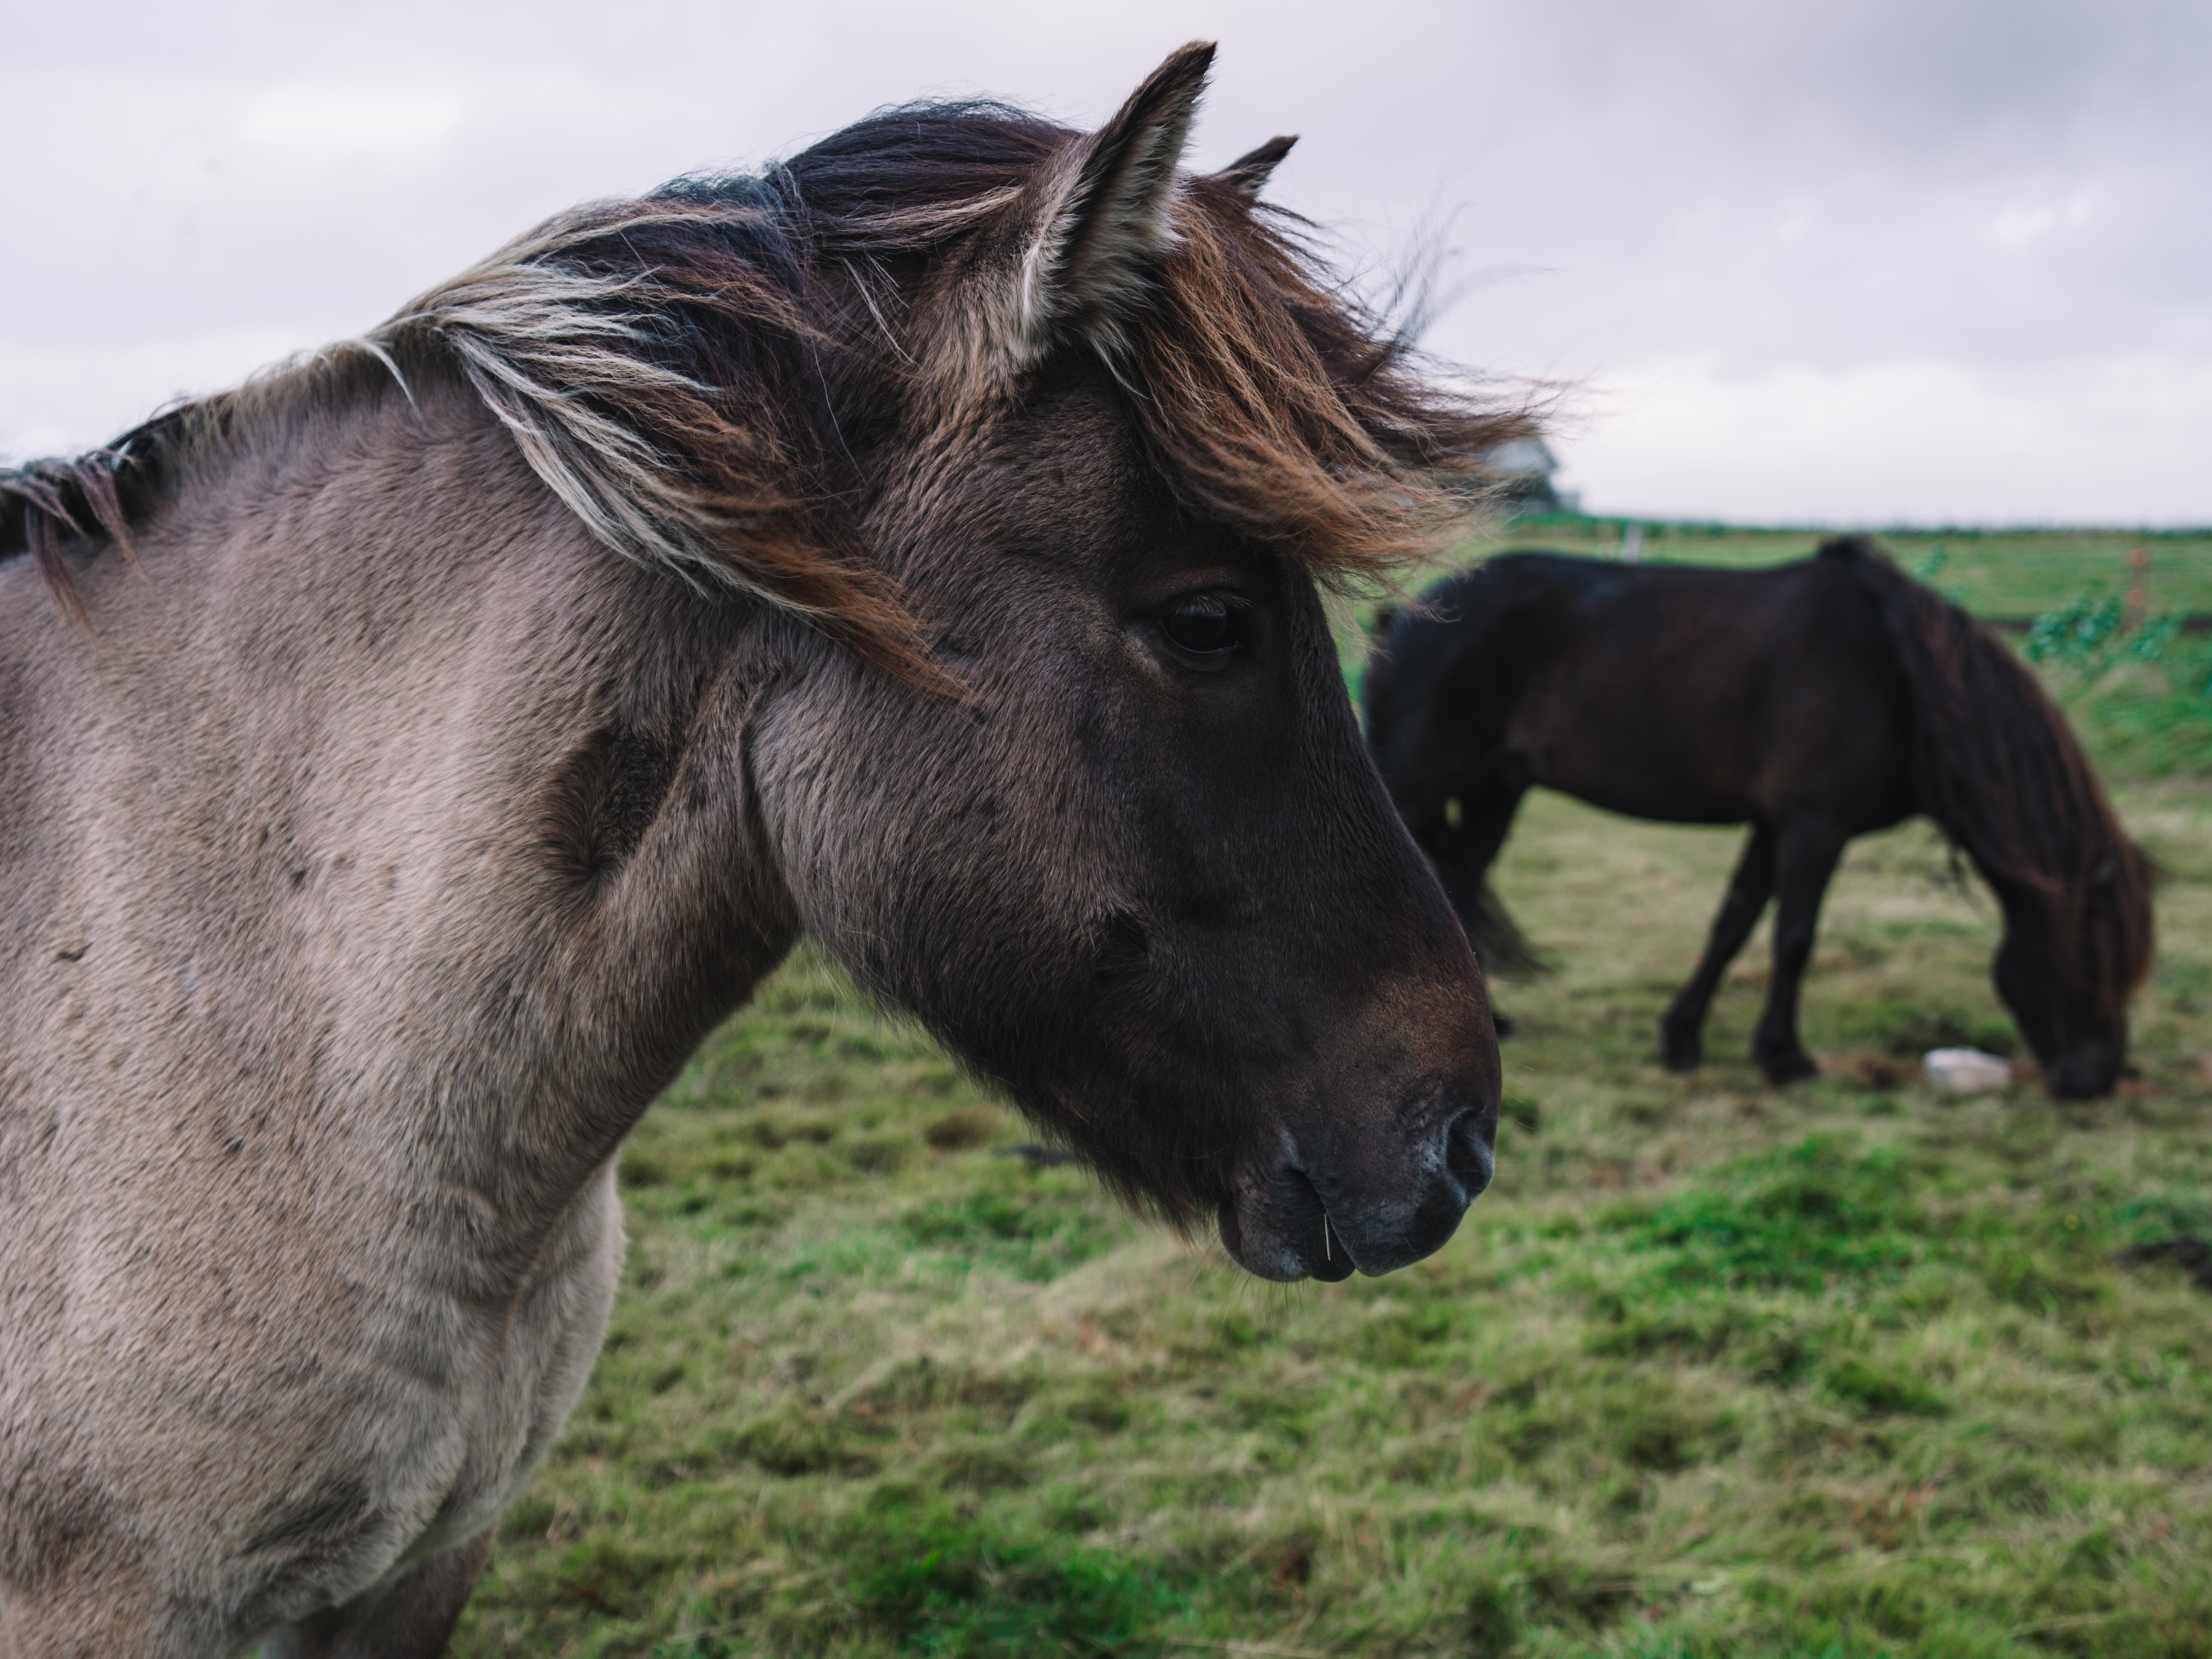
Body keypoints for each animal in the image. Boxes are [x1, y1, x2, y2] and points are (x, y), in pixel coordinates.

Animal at [1354, 539, 2150, 1097]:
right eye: (2093, 956)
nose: (2097, 1077)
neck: (1899, 675)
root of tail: (1400, 617)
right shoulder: (1814, 826)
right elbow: (1793, 938)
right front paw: (1786, 1058)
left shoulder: (1775, 826)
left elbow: (1734, 922)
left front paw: (1682, 1039)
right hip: (1416, 782)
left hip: (1496, 790)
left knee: (1458, 886)